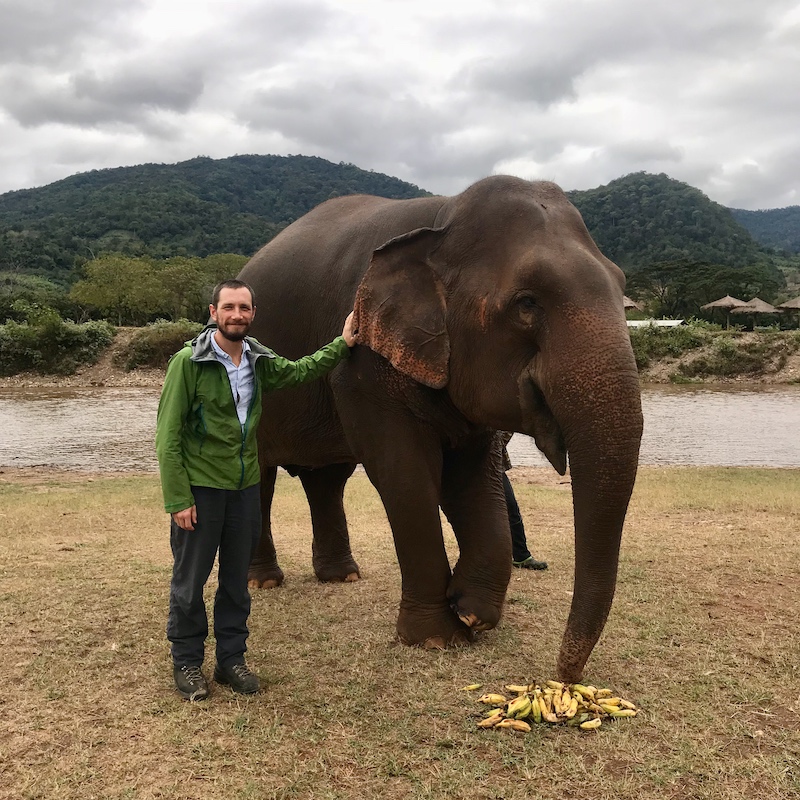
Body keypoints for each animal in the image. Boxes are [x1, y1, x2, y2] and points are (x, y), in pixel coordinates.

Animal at [239, 175, 644, 680]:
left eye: (622, 286)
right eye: (527, 303)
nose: (565, 678)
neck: (442, 216)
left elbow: (472, 476)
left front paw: (472, 614)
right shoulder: (362, 366)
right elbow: (406, 474)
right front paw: (435, 638)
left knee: (327, 478)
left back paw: (342, 576)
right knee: (260, 479)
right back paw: (265, 582)